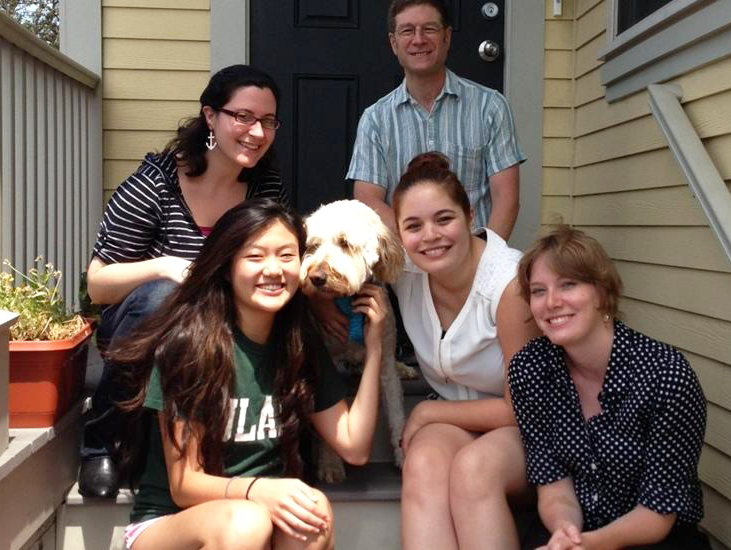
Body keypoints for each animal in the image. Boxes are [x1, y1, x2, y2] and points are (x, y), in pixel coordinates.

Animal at [298, 201, 412, 486]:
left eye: (345, 243)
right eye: (313, 246)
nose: (316, 277)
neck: (348, 303)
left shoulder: (385, 365)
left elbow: (397, 414)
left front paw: (403, 455)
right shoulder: (327, 364)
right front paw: (330, 465)